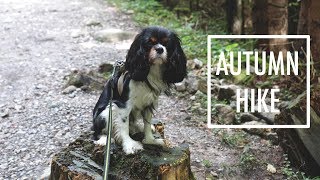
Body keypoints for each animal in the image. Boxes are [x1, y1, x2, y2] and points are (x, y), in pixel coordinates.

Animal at [92, 26, 186, 154]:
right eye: (149, 42)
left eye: (167, 43)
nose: (160, 49)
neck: (151, 69)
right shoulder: (124, 104)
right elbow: (123, 126)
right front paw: (129, 145)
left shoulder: (149, 102)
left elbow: (147, 122)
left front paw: (150, 140)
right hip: (106, 112)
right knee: (97, 132)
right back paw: (103, 139)